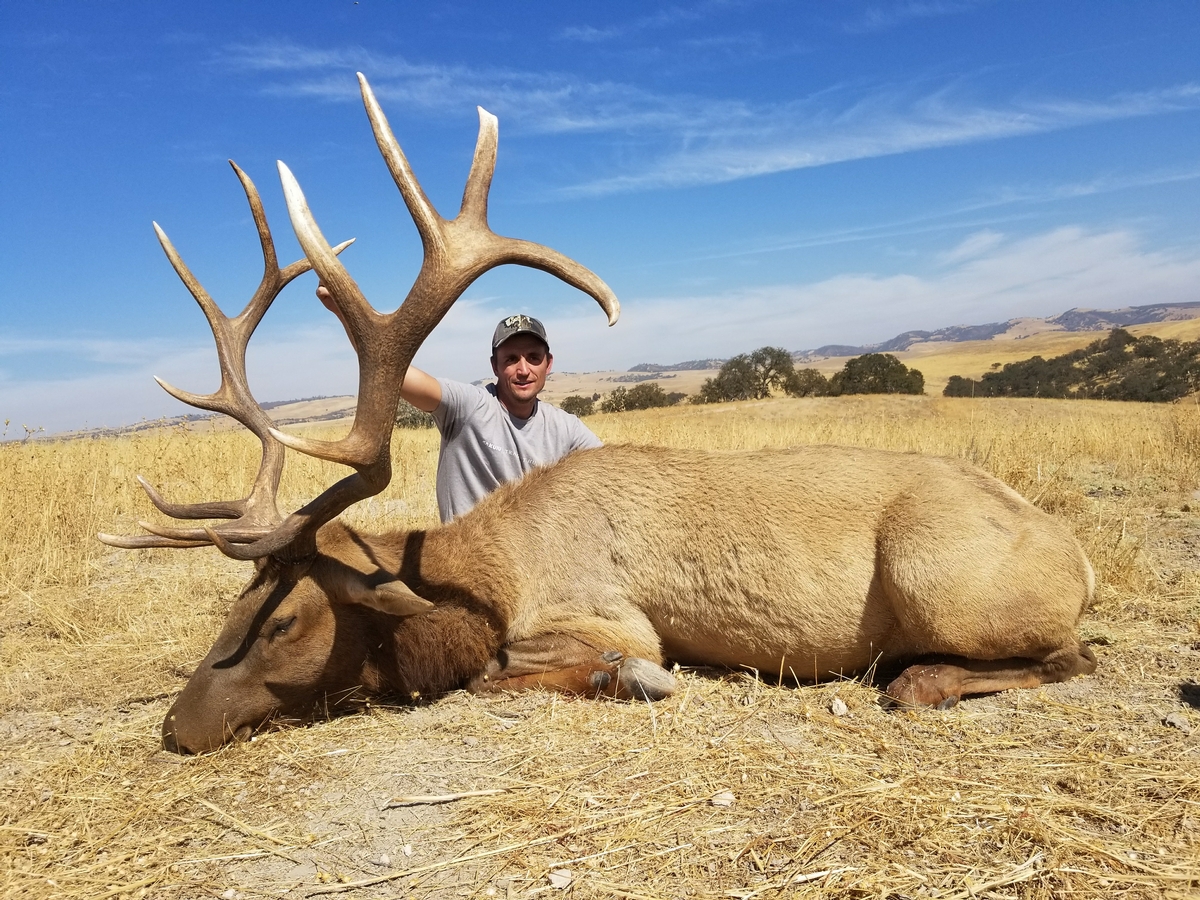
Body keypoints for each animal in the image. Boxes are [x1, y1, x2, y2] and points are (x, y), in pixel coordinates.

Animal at [100, 74, 1098, 754]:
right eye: (235, 604)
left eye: (284, 622)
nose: (179, 726)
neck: (492, 572)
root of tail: (1081, 559)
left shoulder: (609, 615)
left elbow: (509, 670)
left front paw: (636, 679)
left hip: (940, 581)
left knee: (1069, 656)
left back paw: (918, 678)